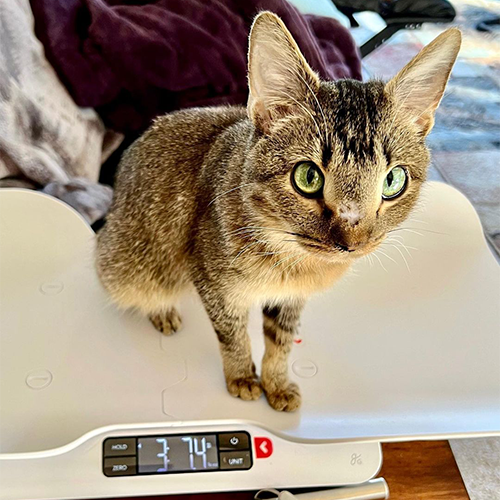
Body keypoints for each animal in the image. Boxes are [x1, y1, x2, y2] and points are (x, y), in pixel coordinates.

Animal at [95, 12, 462, 410]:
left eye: (393, 181)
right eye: (308, 177)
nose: (351, 243)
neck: (289, 259)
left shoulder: (290, 299)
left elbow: (281, 340)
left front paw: (277, 383)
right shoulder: (212, 281)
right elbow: (233, 335)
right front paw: (242, 376)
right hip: (131, 266)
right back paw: (162, 311)